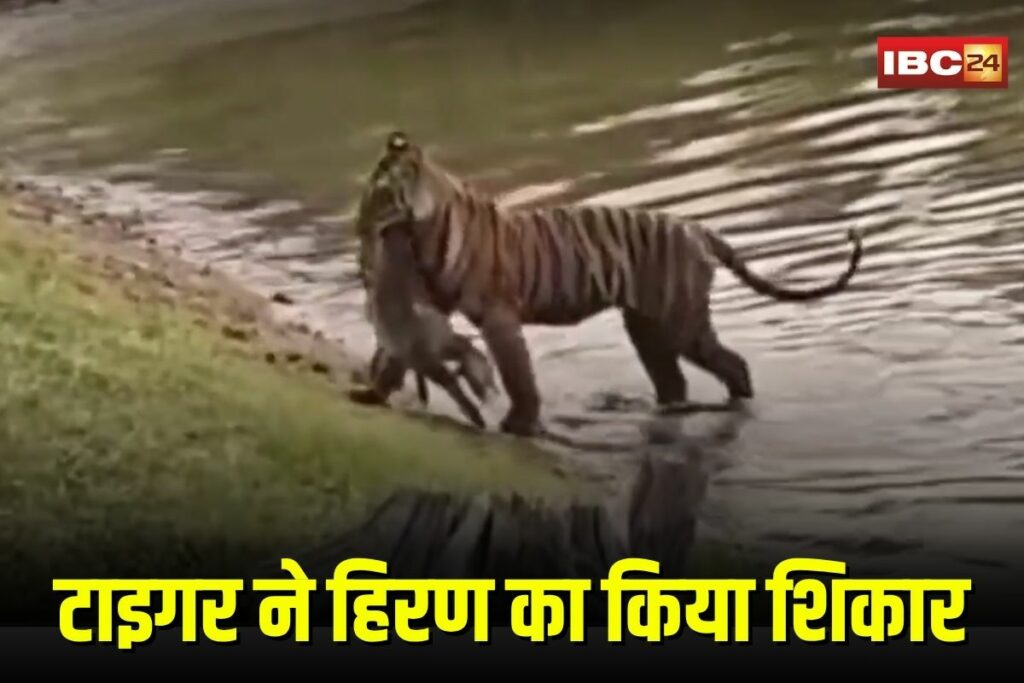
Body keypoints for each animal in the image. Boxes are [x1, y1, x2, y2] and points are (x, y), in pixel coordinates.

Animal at [355, 131, 864, 437]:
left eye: (379, 196)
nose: (359, 229)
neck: (424, 231)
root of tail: (697, 228)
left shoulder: (498, 316)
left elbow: (517, 375)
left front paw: (519, 424)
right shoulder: (427, 308)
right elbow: (397, 351)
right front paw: (372, 393)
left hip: (683, 324)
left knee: (732, 365)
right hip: (648, 328)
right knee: (674, 381)